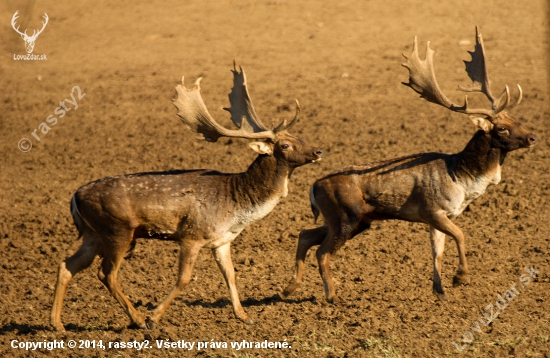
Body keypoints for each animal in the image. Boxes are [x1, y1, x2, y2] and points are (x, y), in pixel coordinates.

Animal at [51, 63, 324, 332]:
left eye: (298, 137)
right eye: (285, 145)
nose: (318, 151)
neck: (236, 204)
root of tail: (75, 196)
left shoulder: (222, 241)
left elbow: (231, 275)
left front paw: (244, 316)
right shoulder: (192, 235)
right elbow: (184, 278)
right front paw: (154, 317)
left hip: (93, 234)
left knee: (67, 266)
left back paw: (57, 324)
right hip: (117, 229)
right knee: (106, 273)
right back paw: (138, 320)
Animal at [284, 26, 540, 304]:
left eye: (515, 119)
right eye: (501, 128)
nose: (532, 137)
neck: (461, 179)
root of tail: (313, 187)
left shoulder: (442, 216)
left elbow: (437, 251)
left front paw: (440, 291)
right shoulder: (433, 209)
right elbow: (460, 235)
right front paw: (460, 278)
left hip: (352, 219)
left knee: (305, 234)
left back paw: (290, 288)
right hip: (346, 216)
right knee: (322, 251)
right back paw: (331, 296)